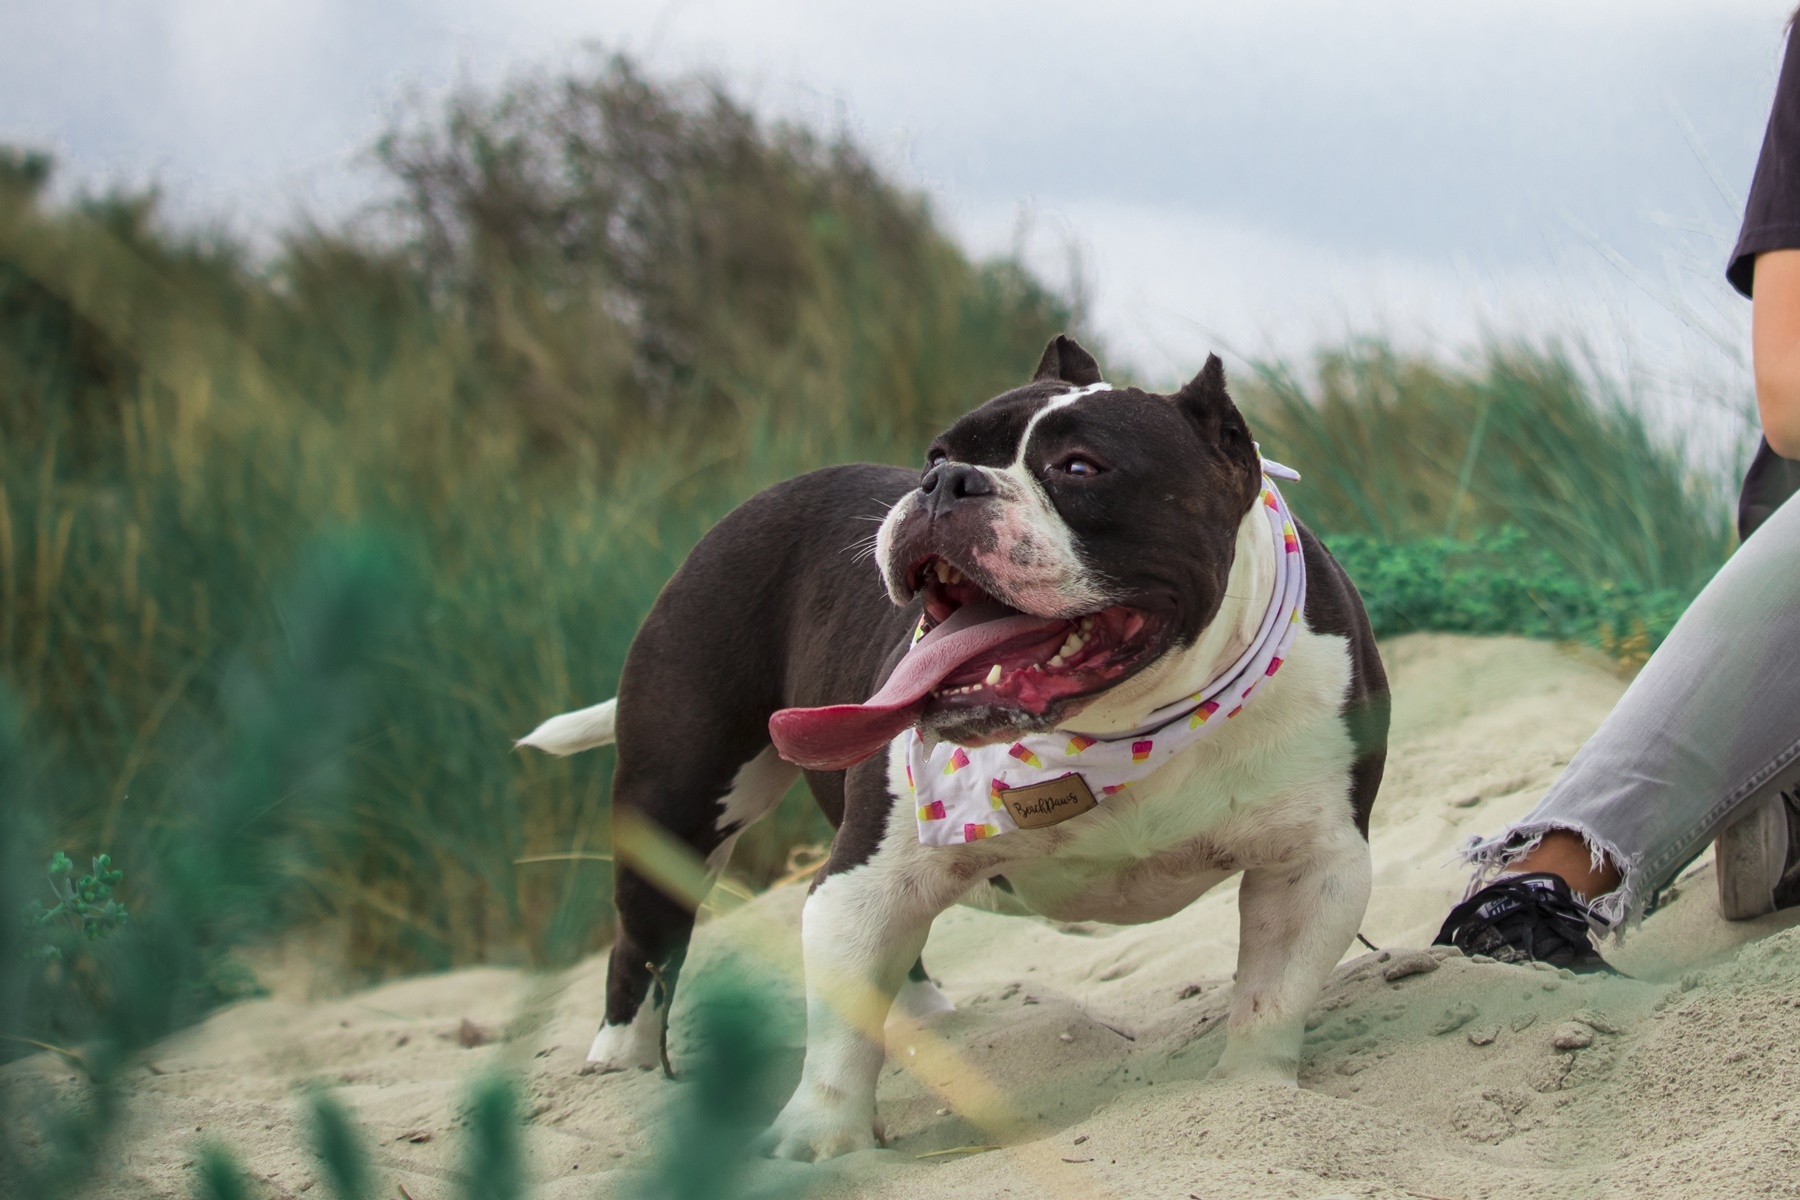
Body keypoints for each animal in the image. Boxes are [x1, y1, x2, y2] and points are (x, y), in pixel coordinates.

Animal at [521, 336, 1388, 1161]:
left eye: (1081, 467)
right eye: (937, 453)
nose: (946, 483)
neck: (1119, 726)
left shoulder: (1311, 865)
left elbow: (1271, 999)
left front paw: (1255, 1095)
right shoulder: (860, 882)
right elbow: (836, 1042)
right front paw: (816, 1143)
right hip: (676, 806)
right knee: (646, 944)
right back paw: (622, 1069)